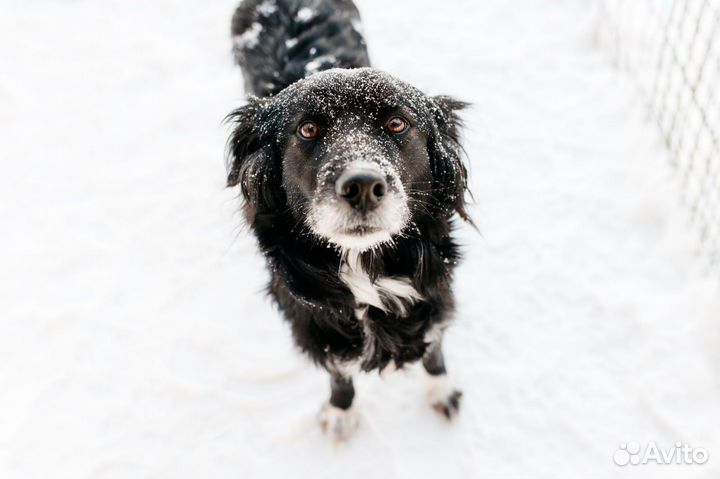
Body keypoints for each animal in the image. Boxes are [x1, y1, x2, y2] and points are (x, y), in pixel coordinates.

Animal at [228, 0, 470, 442]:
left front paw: (441, 391)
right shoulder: (312, 321)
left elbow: (433, 347)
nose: (362, 186)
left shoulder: (435, 293)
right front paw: (341, 410)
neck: (366, 266)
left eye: (397, 123)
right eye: (307, 129)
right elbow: (339, 370)